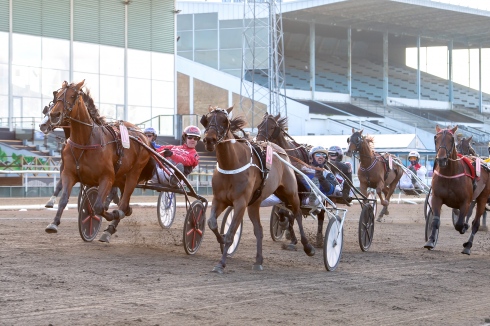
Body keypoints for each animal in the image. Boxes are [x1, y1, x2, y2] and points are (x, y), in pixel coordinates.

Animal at [45, 80, 154, 241]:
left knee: (123, 203)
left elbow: (98, 206)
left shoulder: (107, 177)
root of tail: (142, 136)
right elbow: (64, 199)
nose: (54, 115)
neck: (85, 142)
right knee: (125, 203)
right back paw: (112, 226)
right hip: (121, 177)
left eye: (73, 96)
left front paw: (109, 214)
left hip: (133, 174)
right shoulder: (69, 174)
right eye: (57, 95)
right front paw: (53, 223)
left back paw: (113, 223)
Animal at [202, 105, 314, 272]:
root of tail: (281, 151)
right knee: (259, 230)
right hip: (256, 203)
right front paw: (221, 240)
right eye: (207, 119)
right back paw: (259, 260)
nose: (209, 139)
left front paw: (221, 263)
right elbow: (212, 223)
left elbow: (231, 233)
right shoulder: (219, 200)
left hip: (290, 192)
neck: (231, 165)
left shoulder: (240, 203)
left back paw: (307, 246)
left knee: (297, 213)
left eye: (224, 120)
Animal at [424, 125, 490, 255]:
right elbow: (435, 221)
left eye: (451, 139)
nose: (441, 159)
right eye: (436, 138)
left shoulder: (466, 201)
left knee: (476, 223)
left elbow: (460, 223)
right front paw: (431, 240)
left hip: (483, 198)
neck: (450, 174)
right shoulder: (436, 198)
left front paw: (464, 226)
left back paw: (468, 246)